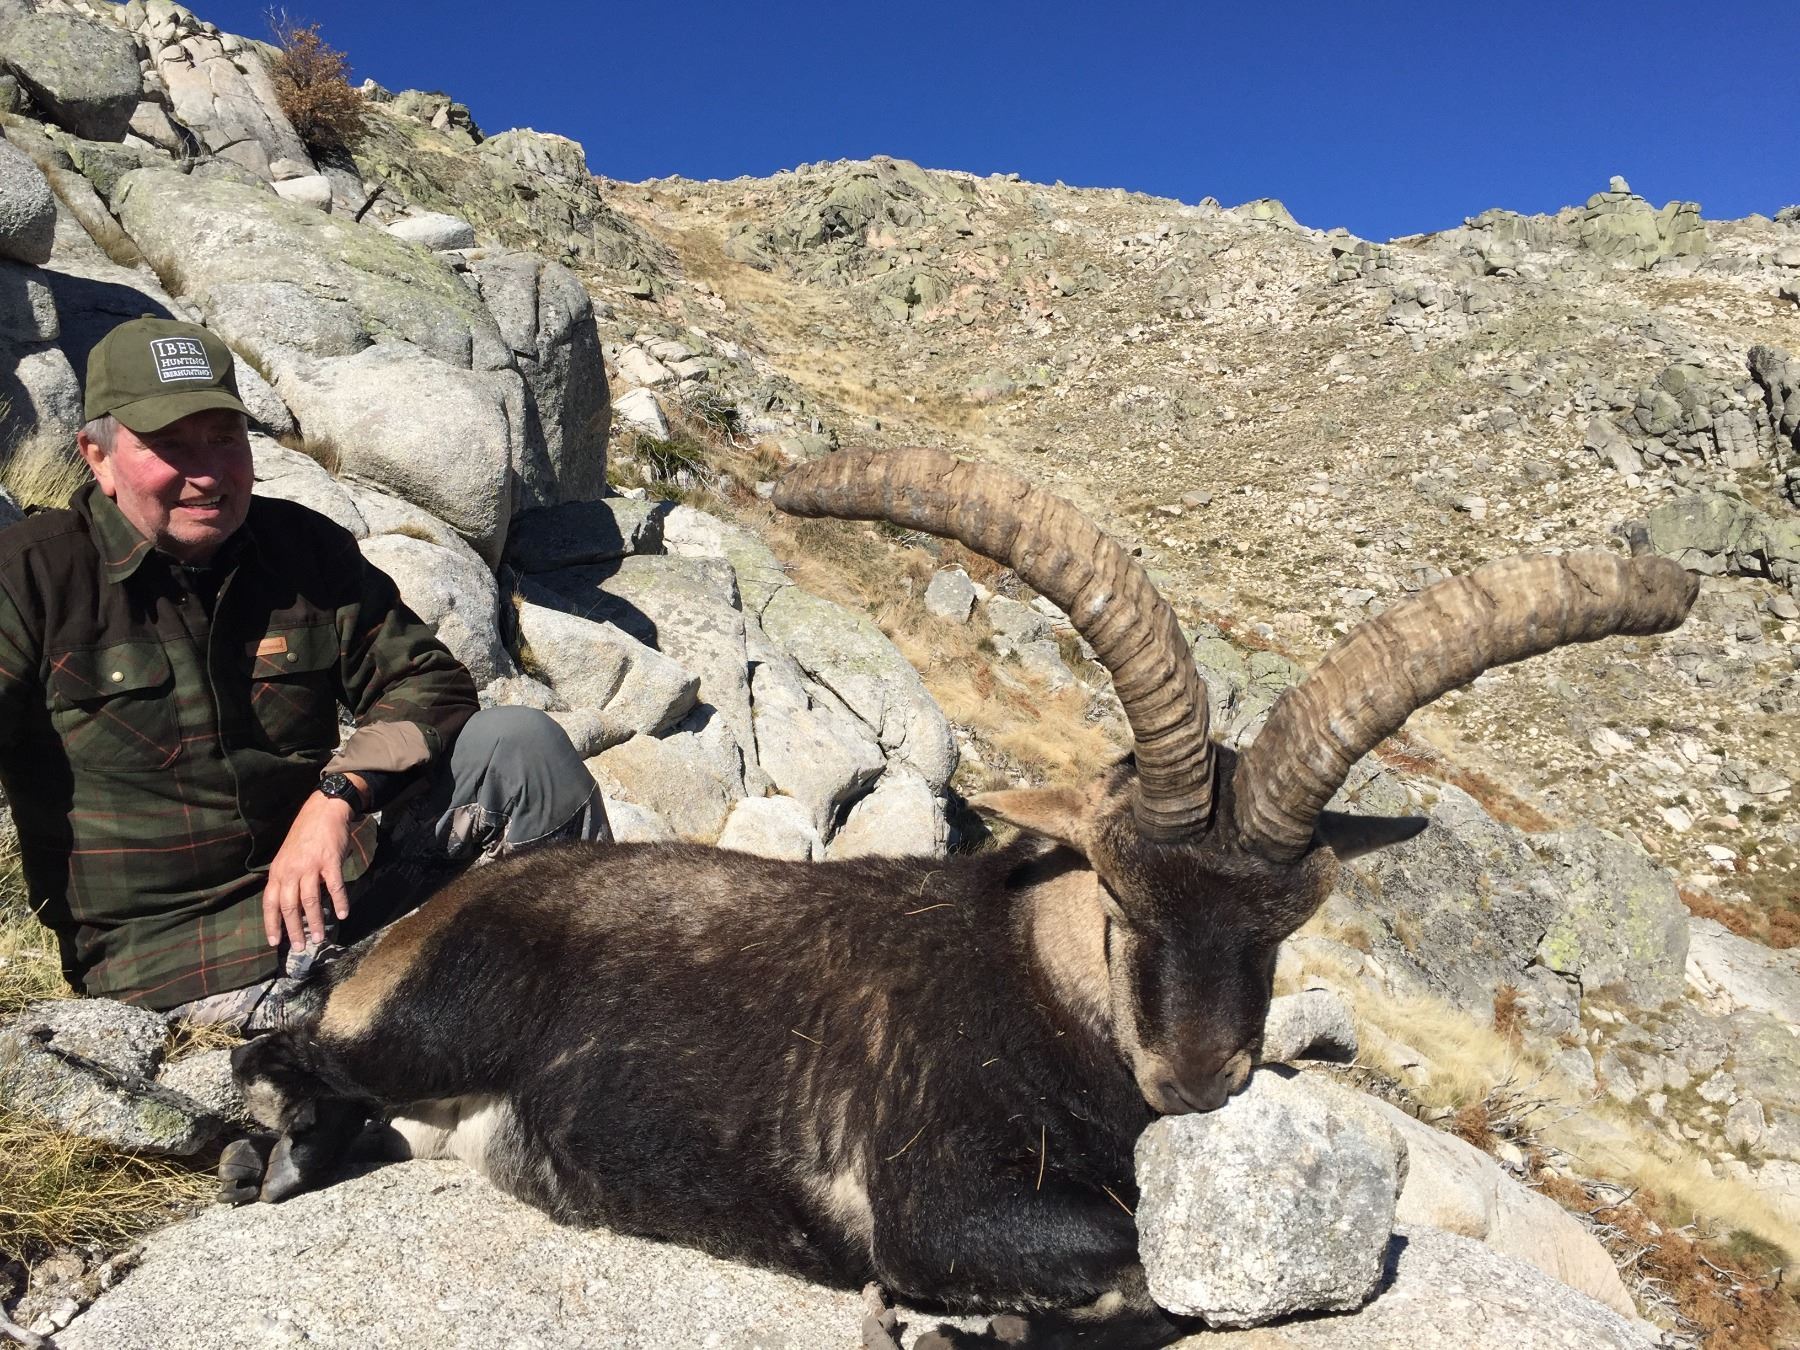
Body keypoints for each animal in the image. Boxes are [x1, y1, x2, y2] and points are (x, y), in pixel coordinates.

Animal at [229, 446, 1697, 1348]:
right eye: (1121, 894)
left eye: (1291, 923)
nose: (1197, 1077)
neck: (1046, 986)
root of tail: (419, 929)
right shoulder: (937, 1193)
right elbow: (1130, 1267)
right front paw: (937, 1315)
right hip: (438, 1019)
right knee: (283, 1053)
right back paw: (273, 1149)